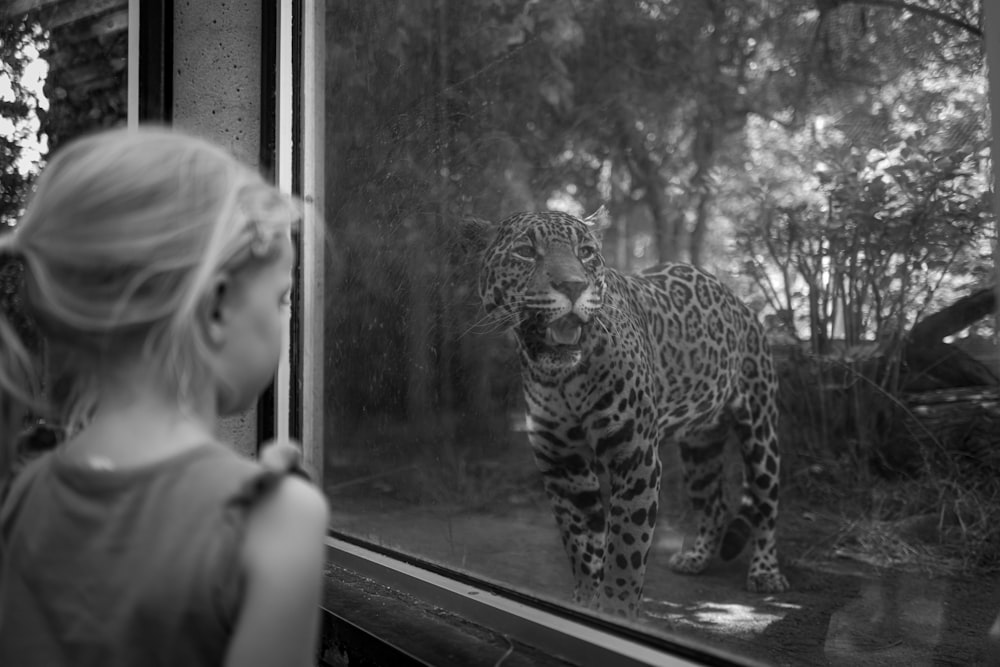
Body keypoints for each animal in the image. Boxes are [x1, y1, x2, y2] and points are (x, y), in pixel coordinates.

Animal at [466, 206, 788, 620]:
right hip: (700, 448)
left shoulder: (635, 458)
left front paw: (617, 611)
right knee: (713, 505)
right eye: (525, 252)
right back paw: (695, 557)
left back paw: (765, 573)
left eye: (586, 252)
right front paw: (586, 602)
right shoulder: (561, 464)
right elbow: (582, 546)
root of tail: (740, 301)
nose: (573, 286)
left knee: (766, 505)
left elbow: (625, 550)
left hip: (761, 430)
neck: (563, 378)